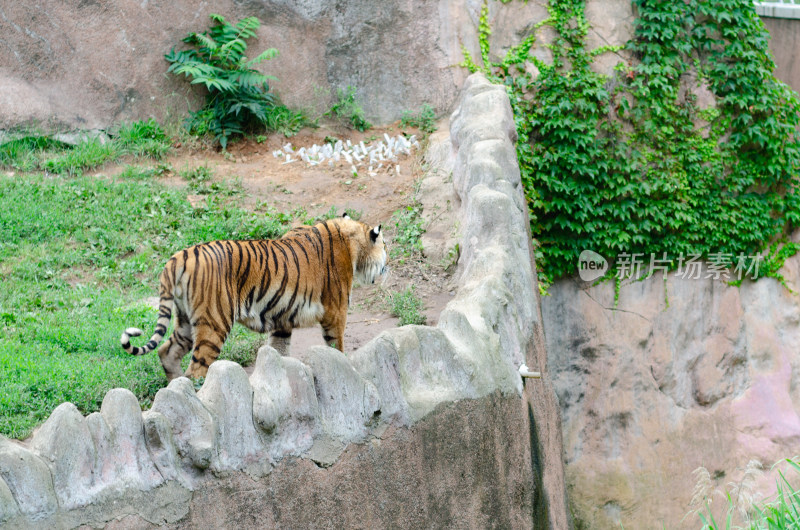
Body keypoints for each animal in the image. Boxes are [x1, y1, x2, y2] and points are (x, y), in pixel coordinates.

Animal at [119, 214, 390, 380]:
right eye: (385, 246)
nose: (387, 266)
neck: (351, 240)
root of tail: (178, 257)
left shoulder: (283, 319)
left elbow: (279, 351)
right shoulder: (336, 311)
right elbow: (337, 346)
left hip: (186, 320)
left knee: (167, 352)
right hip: (214, 322)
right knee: (196, 369)